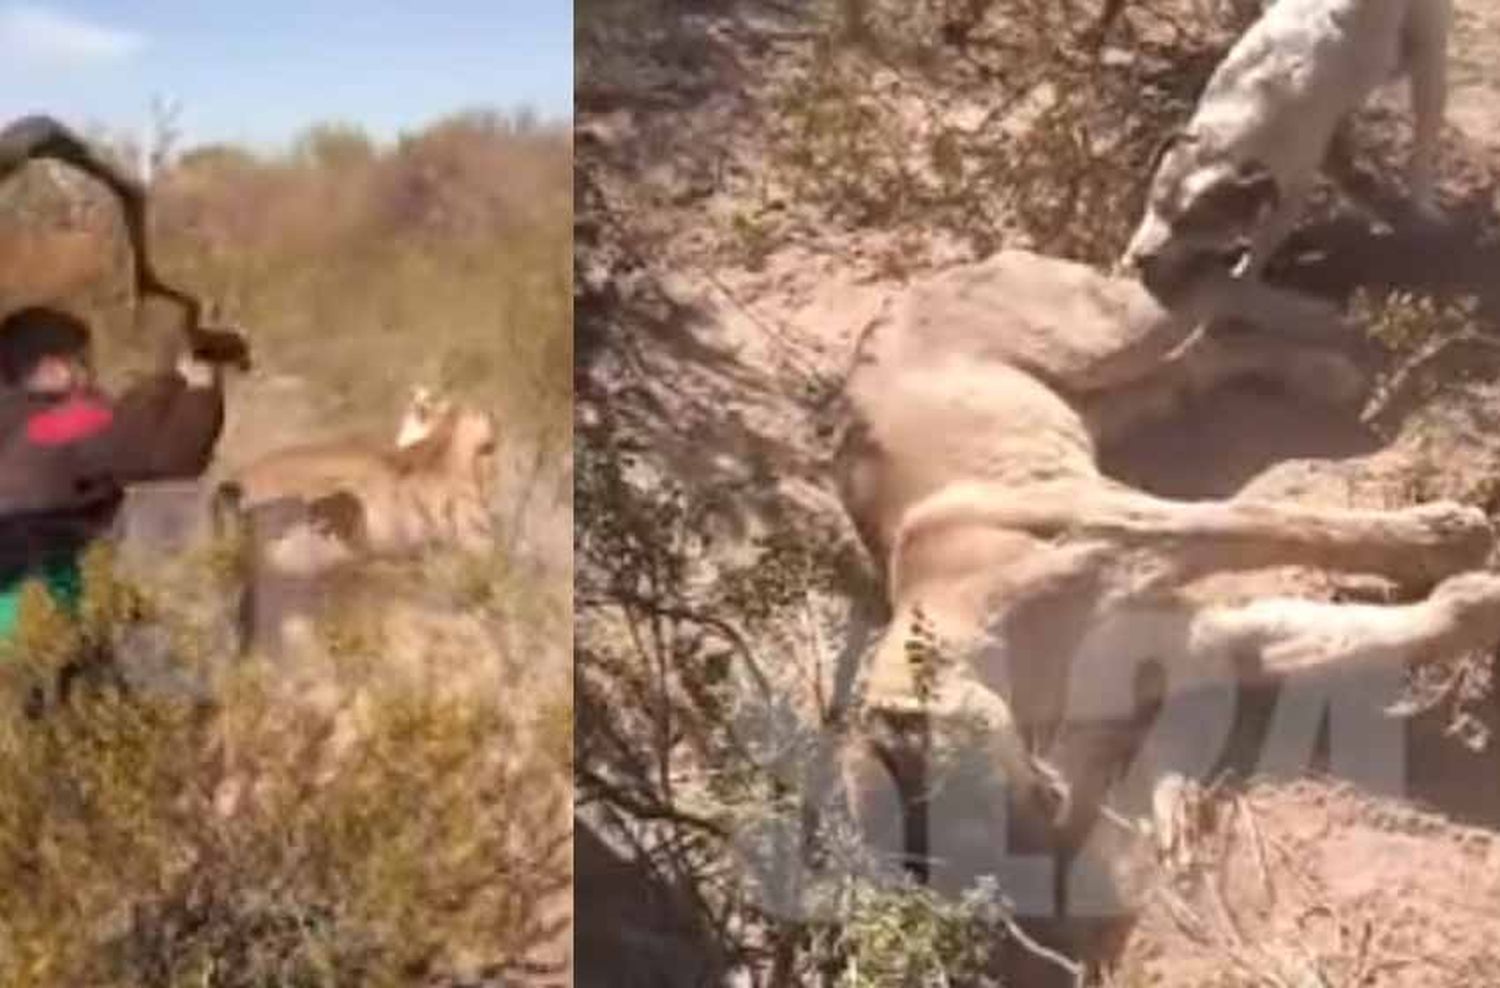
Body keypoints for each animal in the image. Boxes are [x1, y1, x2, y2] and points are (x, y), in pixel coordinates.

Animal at [1122, 0, 1446, 298]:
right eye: (1154, 202)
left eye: (1189, 224)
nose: (1139, 258)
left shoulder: (1292, 187)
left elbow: (1263, 246)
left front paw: (1240, 282)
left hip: (1428, 49)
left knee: (1425, 130)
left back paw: (1421, 203)